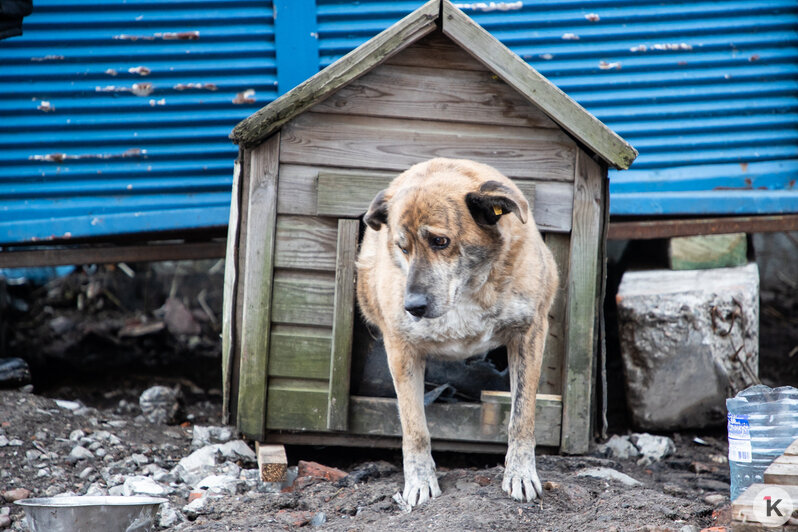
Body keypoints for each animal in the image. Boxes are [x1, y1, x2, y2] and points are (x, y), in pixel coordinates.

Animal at [360, 157, 560, 508]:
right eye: (402, 247)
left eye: (440, 241)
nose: (412, 306)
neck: (466, 291)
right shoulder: (400, 349)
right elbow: (414, 427)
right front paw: (420, 481)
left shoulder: (530, 334)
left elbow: (521, 417)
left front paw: (520, 474)